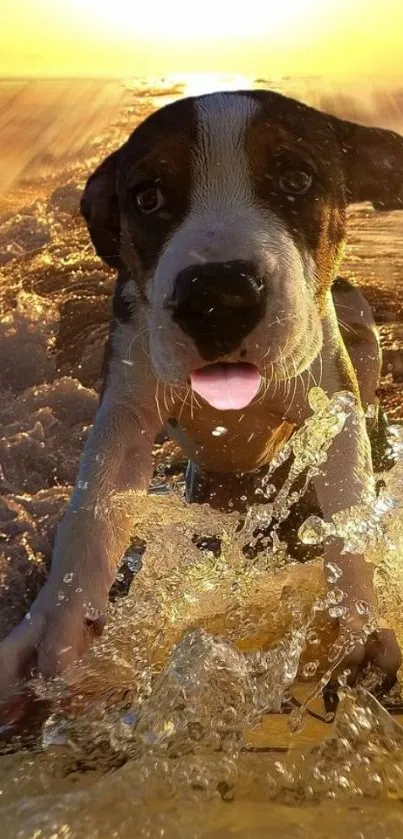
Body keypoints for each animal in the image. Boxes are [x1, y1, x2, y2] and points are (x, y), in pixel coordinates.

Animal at [0, 88, 403, 700]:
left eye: (296, 178)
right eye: (147, 197)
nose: (217, 296)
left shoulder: (330, 401)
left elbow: (347, 502)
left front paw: (356, 619)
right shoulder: (127, 400)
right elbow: (94, 505)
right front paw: (56, 622)